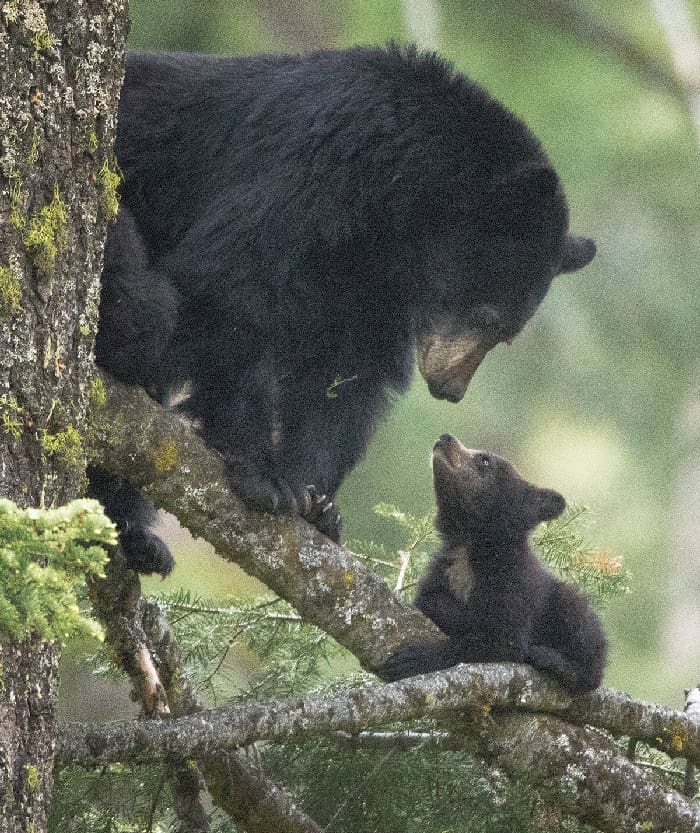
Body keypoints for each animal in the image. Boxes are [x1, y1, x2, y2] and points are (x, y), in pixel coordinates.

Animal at [92, 44, 596, 575]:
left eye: (505, 336)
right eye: (487, 316)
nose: (450, 389)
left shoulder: (371, 276)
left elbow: (348, 373)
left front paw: (316, 503)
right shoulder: (310, 162)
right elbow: (233, 280)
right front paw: (261, 472)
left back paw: (136, 538)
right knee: (149, 311)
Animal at [380, 434, 607, 695]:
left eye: (485, 459)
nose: (445, 437)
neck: (470, 545)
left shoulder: (513, 583)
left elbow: (499, 641)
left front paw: (414, 657)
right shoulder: (444, 569)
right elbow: (429, 600)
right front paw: (445, 609)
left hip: (567, 606)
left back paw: (552, 660)